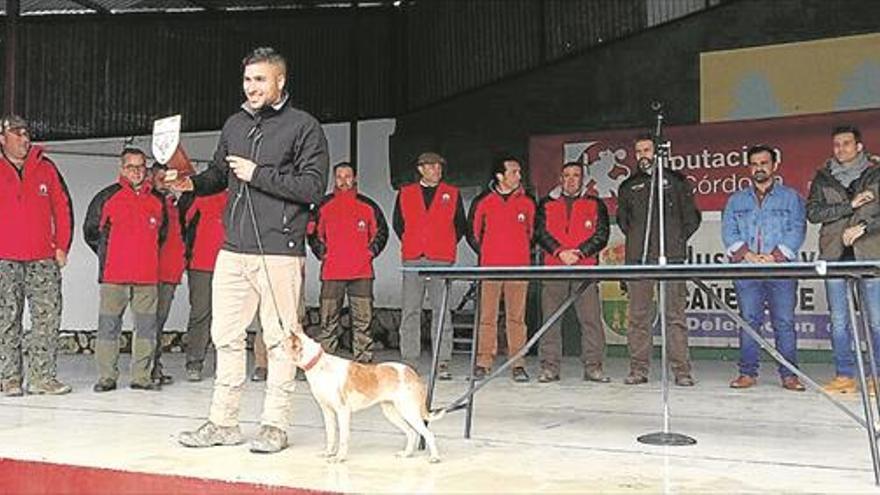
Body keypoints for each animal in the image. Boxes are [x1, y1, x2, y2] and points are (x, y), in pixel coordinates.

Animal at [288, 334, 444, 464]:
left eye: (281, 345)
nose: (274, 349)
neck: (319, 365)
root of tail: (412, 374)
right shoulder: (327, 411)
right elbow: (331, 435)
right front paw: (329, 453)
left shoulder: (343, 412)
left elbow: (343, 437)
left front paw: (339, 458)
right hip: (392, 412)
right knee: (412, 432)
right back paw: (407, 454)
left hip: (409, 412)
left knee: (428, 434)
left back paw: (435, 457)